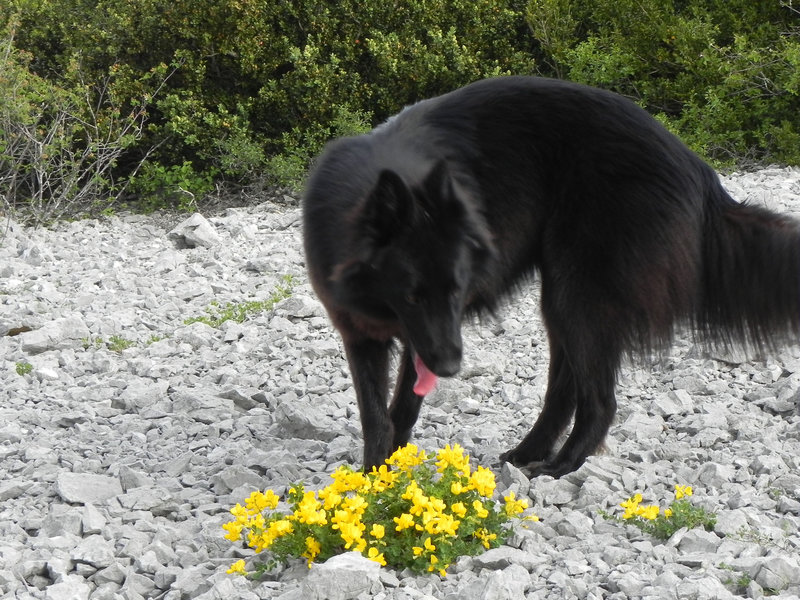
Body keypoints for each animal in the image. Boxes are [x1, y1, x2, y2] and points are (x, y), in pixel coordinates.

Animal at [302, 76, 800, 478]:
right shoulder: (366, 333)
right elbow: (377, 414)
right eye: (412, 296)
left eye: (458, 290)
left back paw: (563, 464)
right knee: (564, 392)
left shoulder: (425, 336)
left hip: (575, 298)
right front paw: (377, 473)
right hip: (562, 302)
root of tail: (699, 170)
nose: (451, 368)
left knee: (599, 400)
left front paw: (385, 475)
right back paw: (529, 452)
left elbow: (402, 405)